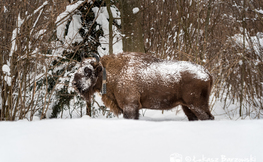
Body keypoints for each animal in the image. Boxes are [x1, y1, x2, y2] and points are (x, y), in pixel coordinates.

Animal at [72, 52, 214, 120]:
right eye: (79, 67)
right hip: (187, 106)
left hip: (197, 105)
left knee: (207, 117)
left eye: (88, 71)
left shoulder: (130, 106)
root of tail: (207, 73)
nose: (74, 83)